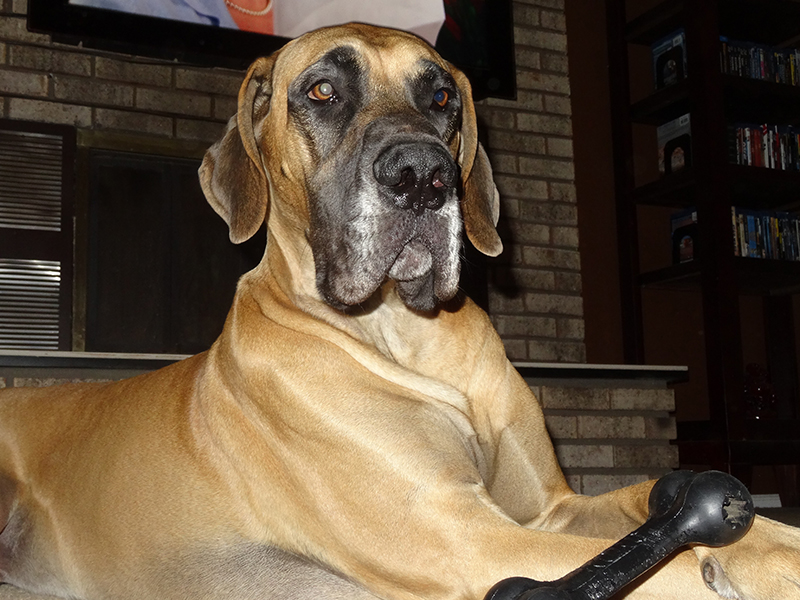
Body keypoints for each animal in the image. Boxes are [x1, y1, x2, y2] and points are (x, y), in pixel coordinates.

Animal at [1, 22, 800, 600]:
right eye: (322, 91)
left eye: (442, 98)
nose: (423, 176)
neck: (401, 335)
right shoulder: (457, 532)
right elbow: (670, 565)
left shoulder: (548, 509)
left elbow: (674, 509)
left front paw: (771, 545)